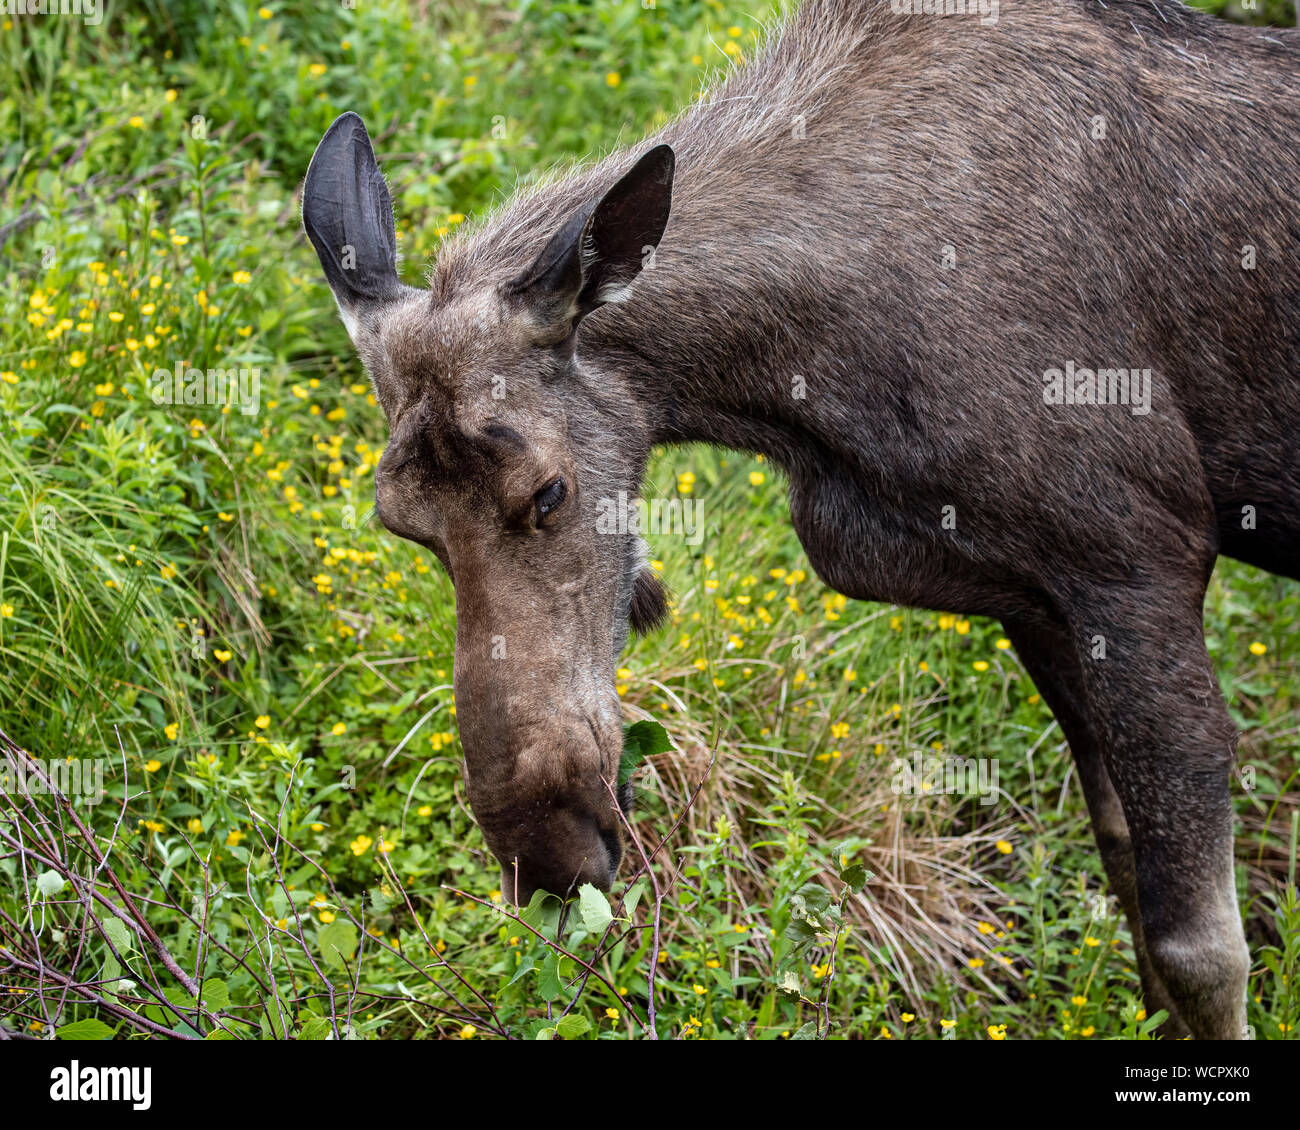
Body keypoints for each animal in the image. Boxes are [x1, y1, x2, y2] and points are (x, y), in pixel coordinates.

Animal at [301, 0, 1300, 1039]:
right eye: (402, 524)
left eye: (548, 493)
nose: (544, 856)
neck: (800, 384)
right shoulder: (1036, 596)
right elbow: (1125, 873)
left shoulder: (1139, 564)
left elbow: (1201, 951)